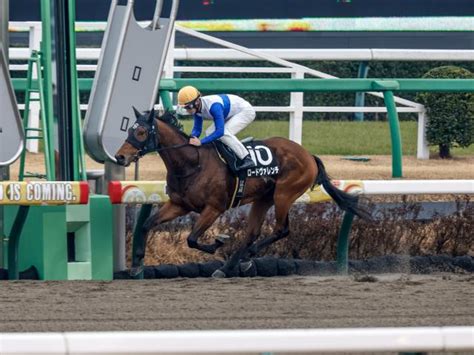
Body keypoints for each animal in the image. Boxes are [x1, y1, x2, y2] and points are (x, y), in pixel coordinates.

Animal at [115, 108, 370, 278]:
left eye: (141, 132)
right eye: (128, 129)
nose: (120, 156)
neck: (192, 163)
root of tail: (309, 155)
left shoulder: (214, 208)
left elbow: (192, 239)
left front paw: (218, 242)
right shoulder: (179, 204)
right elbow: (146, 225)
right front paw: (136, 264)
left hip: (284, 194)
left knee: (281, 229)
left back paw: (244, 258)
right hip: (264, 198)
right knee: (253, 233)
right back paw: (232, 265)